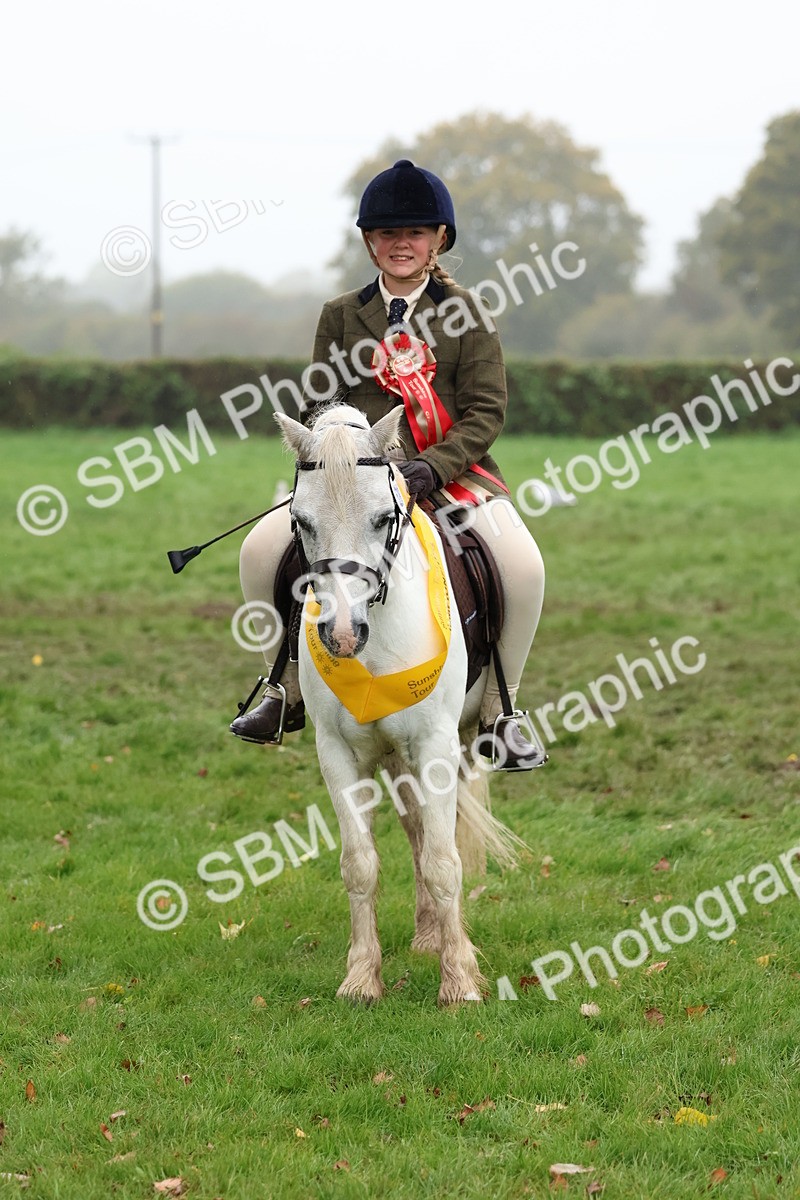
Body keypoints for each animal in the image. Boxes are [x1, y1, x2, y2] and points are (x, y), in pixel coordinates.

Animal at [275, 403, 523, 1005]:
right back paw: (427, 933)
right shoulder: (337, 751)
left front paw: (460, 983)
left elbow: (443, 860)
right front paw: (362, 979)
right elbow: (360, 864)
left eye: (383, 517)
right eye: (301, 521)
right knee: (414, 827)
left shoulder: (434, 744)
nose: (341, 636)